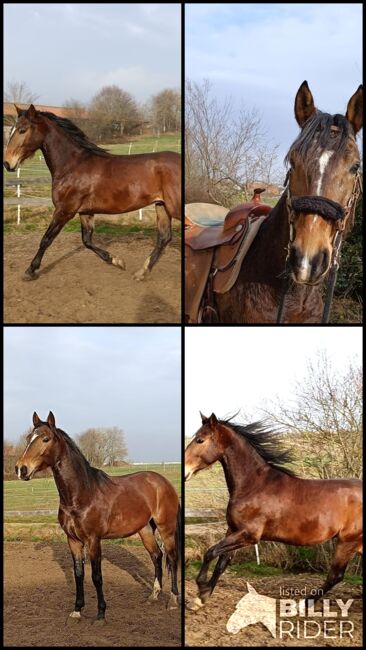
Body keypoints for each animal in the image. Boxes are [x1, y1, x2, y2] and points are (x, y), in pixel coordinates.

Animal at [2, 104, 180, 278]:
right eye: (11, 130)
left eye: (22, 130)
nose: (7, 163)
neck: (72, 166)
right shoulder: (85, 211)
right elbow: (87, 240)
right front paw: (117, 261)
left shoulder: (64, 210)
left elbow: (46, 239)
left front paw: (30, 271)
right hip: (161, 205)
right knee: (164, 237)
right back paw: (142, 272)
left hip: (174, 206)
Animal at [15, 412, 182, 620]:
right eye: (29, 438)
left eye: (45, 439)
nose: (21, 469)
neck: (82, 494)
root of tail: (163, 482)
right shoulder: (73, 540)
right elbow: (79, 575)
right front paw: (77, 610)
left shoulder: (94, 540)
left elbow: (96, 576)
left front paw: (101, 613)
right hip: (145, 529)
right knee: (157, 556)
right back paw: (153, 596)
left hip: (166, 528)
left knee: (172, 558)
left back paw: (173, 600)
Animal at [184, 416, 362, 608]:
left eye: (200, 440)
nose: (184, 471)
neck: (255, 486)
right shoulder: (232, 531)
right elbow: (221, 564)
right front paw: (201, 598)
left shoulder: (249, 535)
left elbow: (210, 552)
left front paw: (200, 587)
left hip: (347, 542)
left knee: (335, 575)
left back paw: (302, 605)